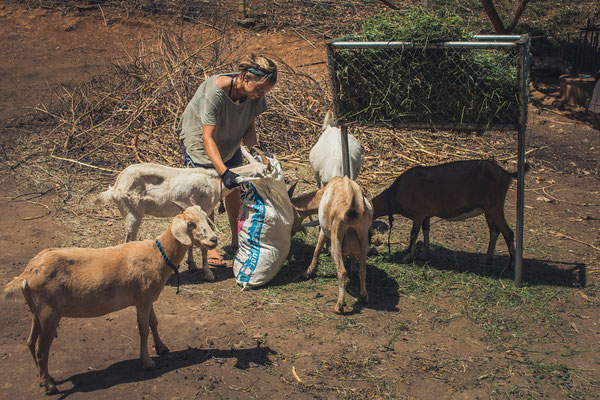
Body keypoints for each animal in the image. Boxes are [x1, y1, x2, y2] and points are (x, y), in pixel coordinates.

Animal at [1, 208, 218, 396]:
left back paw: (44, 378)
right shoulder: (142, 299)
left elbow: (154, 323)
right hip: (48, 314)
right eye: (191, 224)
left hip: (36, 311)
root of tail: (27, 273)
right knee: (41, 349)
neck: (158, 254)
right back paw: (48, 386)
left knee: (30, 342)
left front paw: (162, 348)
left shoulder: (147, 298)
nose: (214, 239)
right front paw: (147, 362)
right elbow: (143, 329)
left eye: (205, 219)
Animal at [96, 148, 270, 282]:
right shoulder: (204, 211)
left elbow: (191, 241)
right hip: (133, 213)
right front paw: (208, 273)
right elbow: (203, 245)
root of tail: (115, 187)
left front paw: (191, 265)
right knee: (128, 240)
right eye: (263, 173)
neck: (214, 182)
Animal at [296, 177, 376, 314]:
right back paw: (363, 296)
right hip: (363, 235)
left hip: (336, 236)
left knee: (342, 272)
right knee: (363, 269)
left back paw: (339, 305)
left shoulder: (324, 229)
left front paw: (307, 272)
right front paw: (353, 267)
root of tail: (352, 204)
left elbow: (317, 249)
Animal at [372, 159, 528, 268]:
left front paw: (407, 257)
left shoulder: (418, 214)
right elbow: (426, 230)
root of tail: (507, 174)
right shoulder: (426, 215)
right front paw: (424, 253)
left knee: (508, 232)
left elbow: (413, 234)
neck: (396, 193)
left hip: (495, 206)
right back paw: (487, 258)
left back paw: (512, 264)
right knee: (495, 231)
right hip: (488, 209)